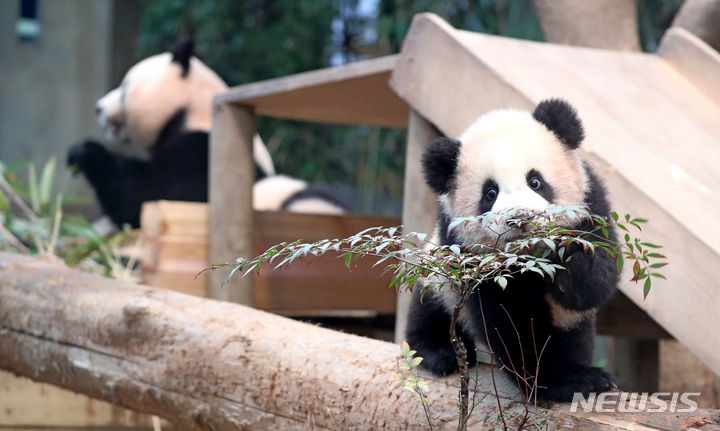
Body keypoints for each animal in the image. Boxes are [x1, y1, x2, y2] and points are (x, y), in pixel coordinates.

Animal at [69, 38, 350, 231]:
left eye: (125, 86)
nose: (98, 107)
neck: (194, 109)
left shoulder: (202, 150)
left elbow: (149, 194)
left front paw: (85, 153)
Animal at [408, 99, 620, 404]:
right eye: (490, 193)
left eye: (535, 181)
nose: (520, 218)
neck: (531, 258)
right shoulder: (464, 246)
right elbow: (509, 319)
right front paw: (561, 380)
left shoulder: (591, 202)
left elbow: (598, 281)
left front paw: (570, 260)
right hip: (439, 279)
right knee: (430, 310)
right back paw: (439, 353)